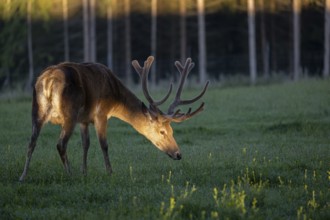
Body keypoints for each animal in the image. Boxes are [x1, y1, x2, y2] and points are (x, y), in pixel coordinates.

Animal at [18, 55, 209, 181]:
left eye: (172, 130)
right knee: (60, 144)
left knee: (31, 142)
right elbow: (104, 144)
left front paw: (84, 172)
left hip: (36, 110)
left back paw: (23, 176)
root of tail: (48, 82)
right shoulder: (100, 113)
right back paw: (69, 174)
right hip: (69, 112)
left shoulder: (83, 119)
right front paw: (109, 172)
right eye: (162, 131)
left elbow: (85, 144)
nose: (178, 154)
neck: (115, 98)